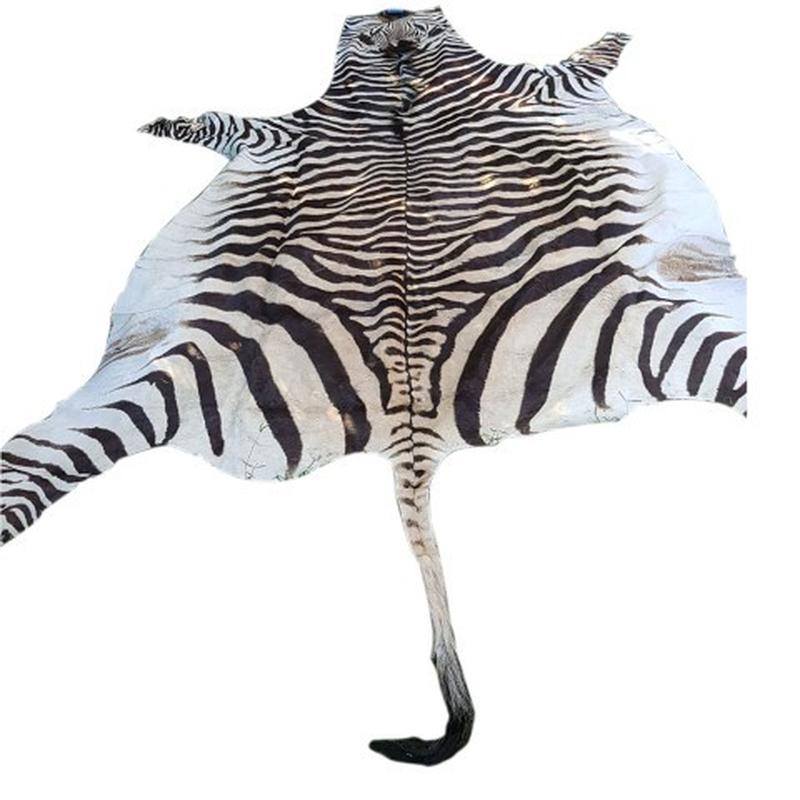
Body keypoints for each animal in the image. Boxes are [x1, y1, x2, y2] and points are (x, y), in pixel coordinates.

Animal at [0, 6, 746, 765]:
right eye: (370, 28)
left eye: (423, 22)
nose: (392, 13)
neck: (401, 80)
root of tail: (415, 426)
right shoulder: (283, 130)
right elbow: (218, 120)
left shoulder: (514, 88)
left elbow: (581, 60)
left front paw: (617, 38)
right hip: (165, 365)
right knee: (33, 467)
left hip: (667, 313)